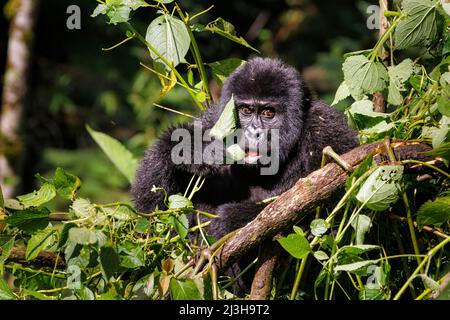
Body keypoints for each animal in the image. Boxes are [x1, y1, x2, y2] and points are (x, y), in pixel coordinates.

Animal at [131, 57, 358, 296]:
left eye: (268, 113)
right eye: (246, 111)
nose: (253, 132)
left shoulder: (326, 129)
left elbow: (336, 214)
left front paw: (230, 220)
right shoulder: (214, 120)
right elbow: (152, 222)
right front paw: (192, 146)